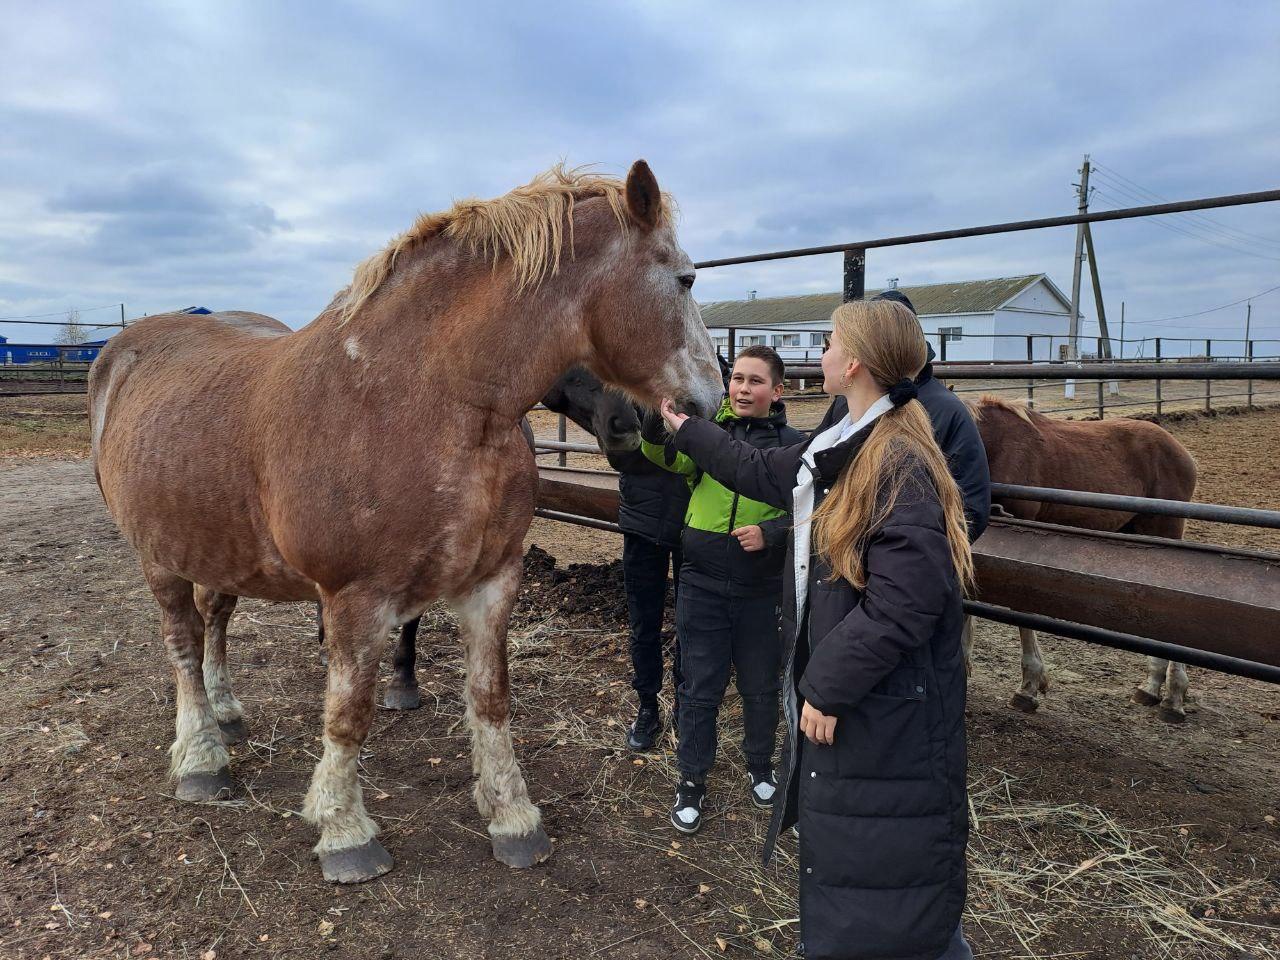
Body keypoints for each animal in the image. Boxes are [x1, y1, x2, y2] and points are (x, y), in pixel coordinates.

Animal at [90, 160, 727, 885]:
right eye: (686, 279)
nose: (709, 402)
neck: (420, 398)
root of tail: (120, 353)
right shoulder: (356, 598)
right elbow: (348, 715)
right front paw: (345, 831)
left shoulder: (492, 582)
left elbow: (490, 698)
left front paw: (513, 817)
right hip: (158, 556)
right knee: (182, 645)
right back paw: (201, 759)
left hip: (217, 546)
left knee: (213, 623)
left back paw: (225, 716)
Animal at [967, 396, 1198, 721]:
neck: (992, 446)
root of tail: (1179, 449)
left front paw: (1029, 687)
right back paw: (1151, 687)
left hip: (1165, 531)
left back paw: (1173, 697)